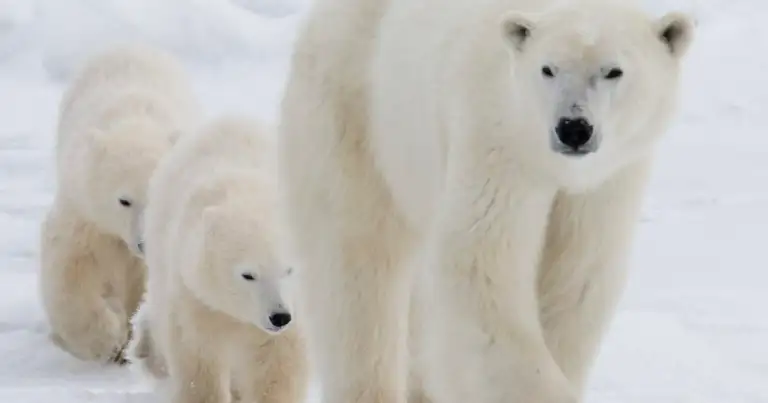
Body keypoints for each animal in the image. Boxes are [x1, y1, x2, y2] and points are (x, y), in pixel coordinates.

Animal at [39, 43, 201, 364]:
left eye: (156, 196)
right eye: (124, 200)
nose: (143, 244)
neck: (134, 121)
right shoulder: (85, 207)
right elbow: (70, 264)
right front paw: (107, 340)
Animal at [129, 115, 308, 403]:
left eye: (288, 270)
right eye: (248, 274)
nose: (279, 316)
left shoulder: (296, 309)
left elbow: (277, 367)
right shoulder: (196, 295)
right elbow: (200, 359)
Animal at [276, 0, 696, 402]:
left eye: (613, 71)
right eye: (547, 69)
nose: (574, 128)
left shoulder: (607, 180)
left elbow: (578, 272)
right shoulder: (496, 139)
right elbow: (481, 262)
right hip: (355, 111)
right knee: (357, 261)